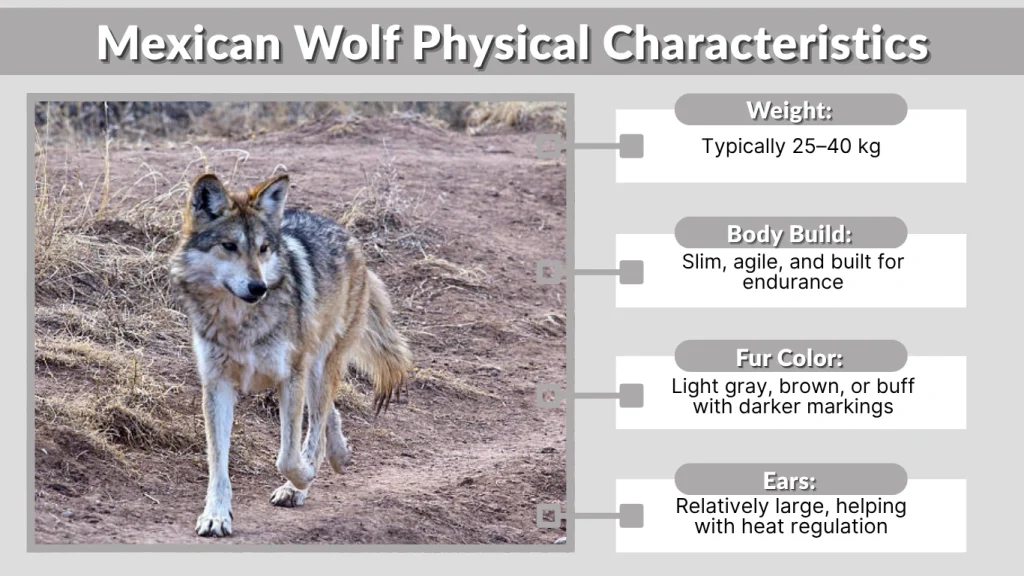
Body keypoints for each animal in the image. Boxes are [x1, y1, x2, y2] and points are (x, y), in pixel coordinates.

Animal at [169, 173, 411, 537]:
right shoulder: (217, 385)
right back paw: (339, 454)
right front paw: (216, 516)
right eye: (229, 246)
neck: (241, 322)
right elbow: (218, 463)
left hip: (320, 365)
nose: (258, 287)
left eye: (263, 249)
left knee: (317, 423)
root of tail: (346, 234)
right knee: (326, 415)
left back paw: (303, 481)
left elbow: (287, 456)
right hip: (313, 370)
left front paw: (303, 478)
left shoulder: (290, 376)